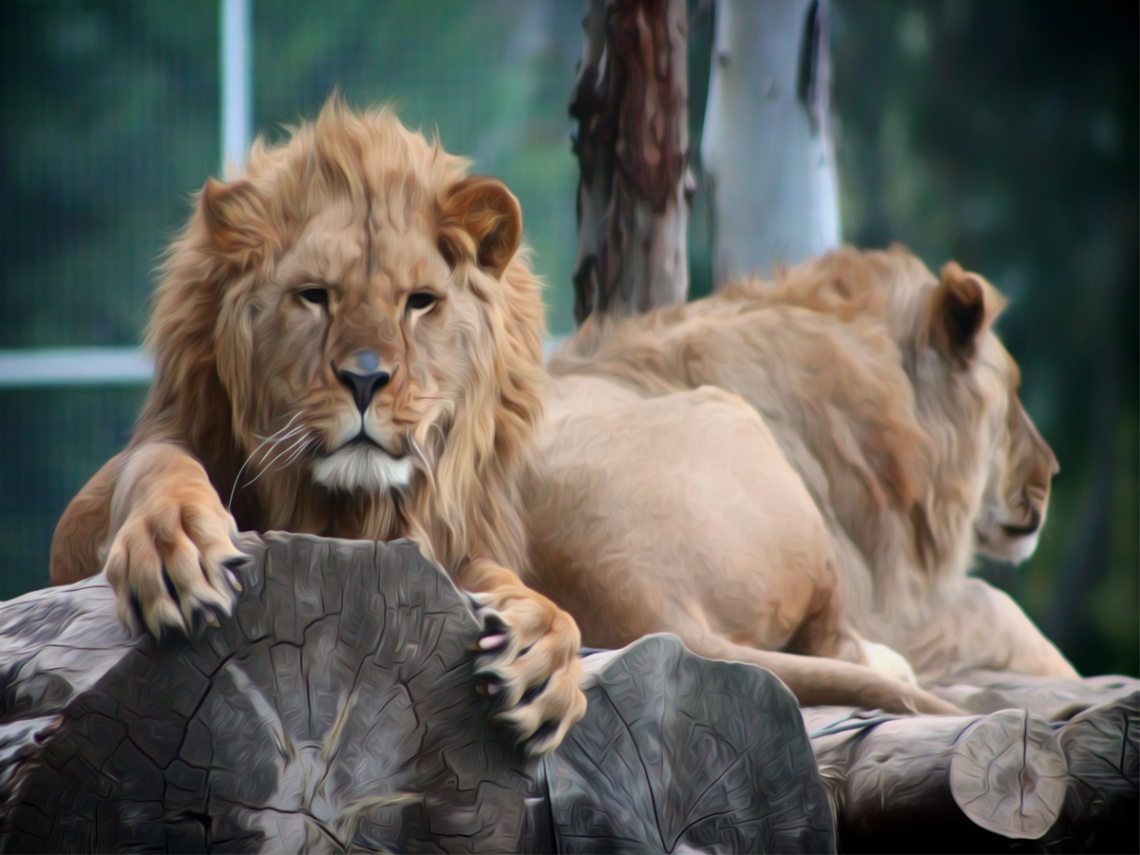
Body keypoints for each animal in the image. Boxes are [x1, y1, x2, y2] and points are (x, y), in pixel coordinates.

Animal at [51, 100, 588, 756]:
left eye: (420, 302)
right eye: (313, 296)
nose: (365, 378)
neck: (350, 511)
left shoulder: (450, 535)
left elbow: (506, 580)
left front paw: (543, 651)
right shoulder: (88, 513)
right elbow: (157, 463)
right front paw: (173, 543)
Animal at [526, 243, 1076, 711]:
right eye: (1014, 396)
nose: (1051, 471)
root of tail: (648, 601)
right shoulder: (890, 606)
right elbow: (997, 608)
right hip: (753, 448)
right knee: (838, 646)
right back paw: (897, 669)